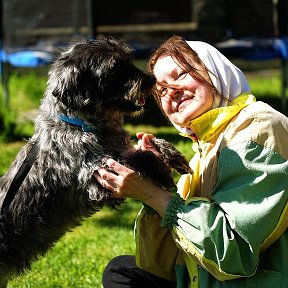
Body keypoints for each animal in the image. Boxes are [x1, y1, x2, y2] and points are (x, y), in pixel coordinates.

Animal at [0, 37, 191, 286]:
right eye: (114, 69)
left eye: (128, 60)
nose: (151, 80)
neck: (82, 125)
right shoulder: (95, 175)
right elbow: (140, 156)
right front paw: (162, 170)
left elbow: (145, 146)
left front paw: (172, 155)